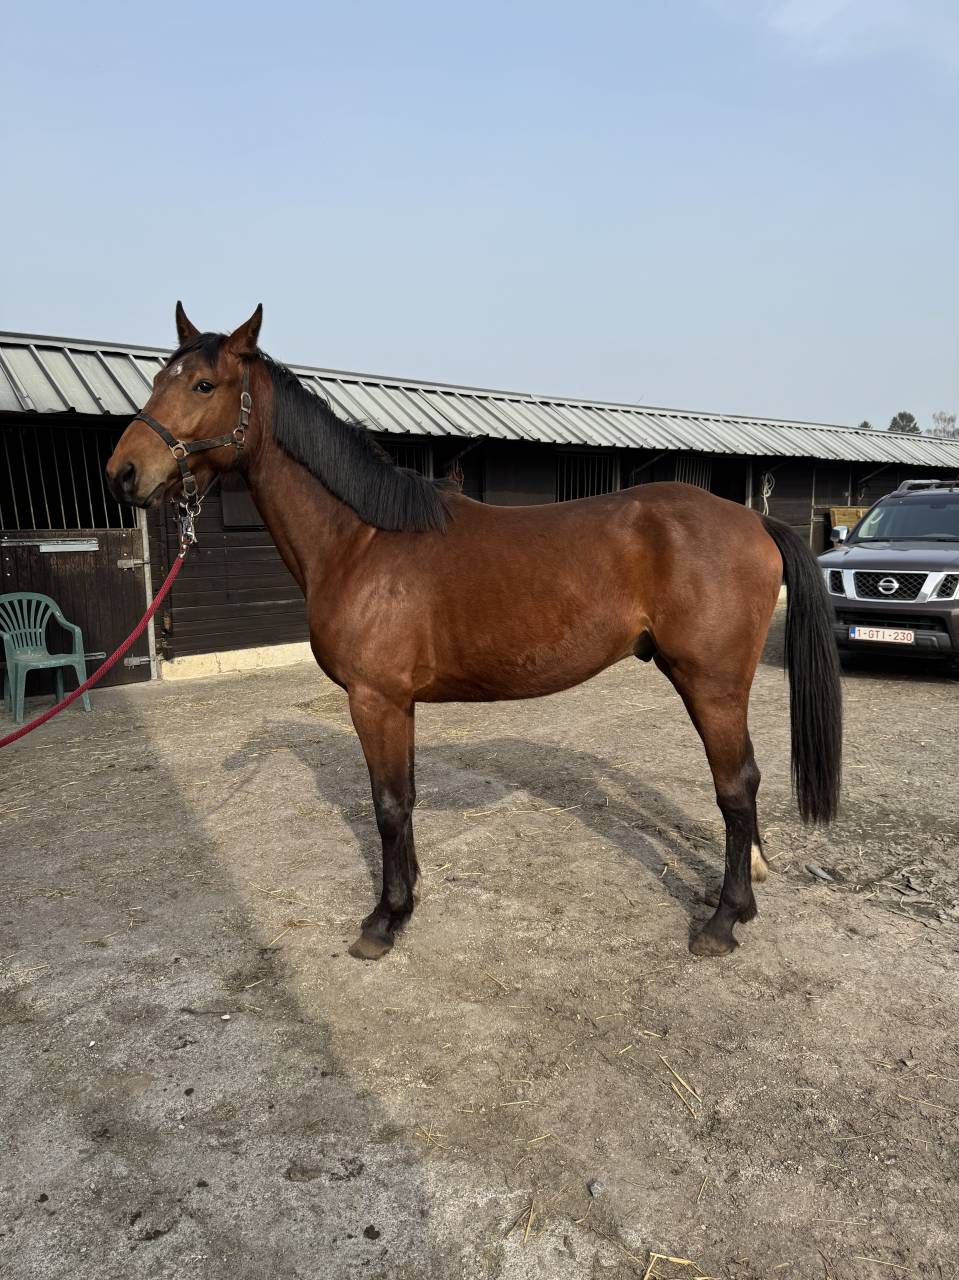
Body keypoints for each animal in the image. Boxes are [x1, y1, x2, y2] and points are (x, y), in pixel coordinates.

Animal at [106, 303, 842, 962]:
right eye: (157, 379)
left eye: (203, 385)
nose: (122, 473)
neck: (362, 539)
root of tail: (754, 520)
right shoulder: (398, 704)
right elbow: (404, 796)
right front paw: (409, 899)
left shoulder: (374, 700)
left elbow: (387, 805)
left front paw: (384, 921)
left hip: (710, 684)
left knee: (736, 788)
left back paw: (723, 921)